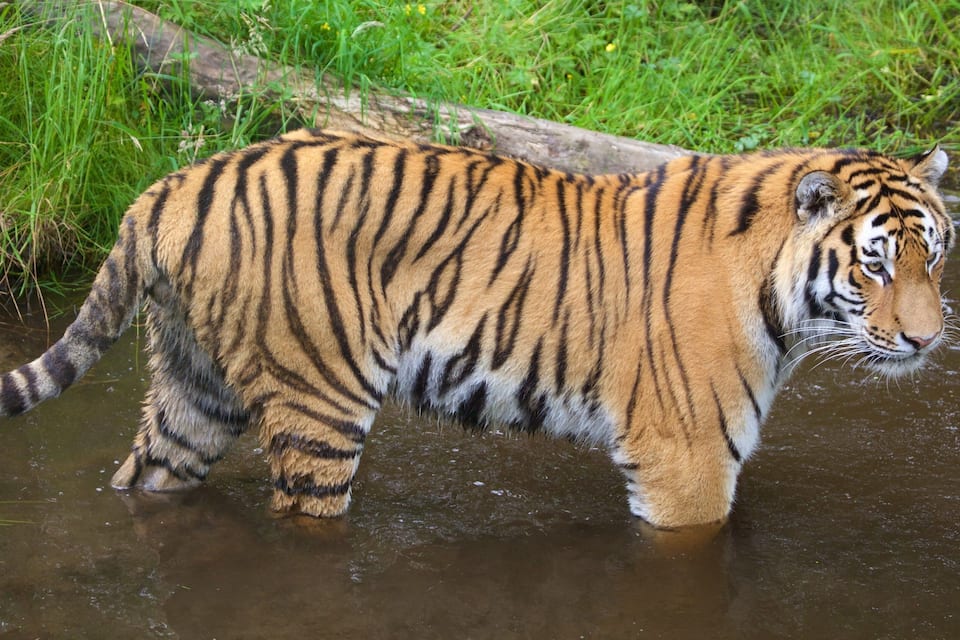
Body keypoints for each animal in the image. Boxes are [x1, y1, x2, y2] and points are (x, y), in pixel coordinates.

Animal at [0, 129, 952, 529]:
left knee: (145, 477)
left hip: (195, 391)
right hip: (318, 402)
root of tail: (174, 184)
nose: (927, 341)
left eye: (933, 254)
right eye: (874, 264)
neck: (779, 296)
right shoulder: (686, 462)